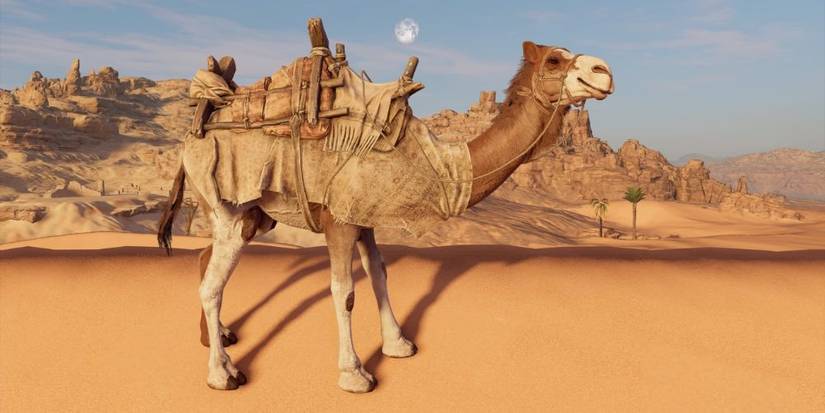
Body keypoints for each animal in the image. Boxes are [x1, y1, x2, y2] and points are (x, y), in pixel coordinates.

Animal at [158, 35, 613, 393]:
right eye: (554, 60)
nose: (604, 70)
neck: (437, 164)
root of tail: (191, 133)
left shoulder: (365, 218)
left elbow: (379, 274)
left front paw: (398, 345)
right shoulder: (339, 218)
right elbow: (344, 292)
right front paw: (355, 374)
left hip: (246, 212)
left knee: (205, 261)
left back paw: (217, 338)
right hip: (228, 205)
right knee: (212, 284)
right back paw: (223, 374)